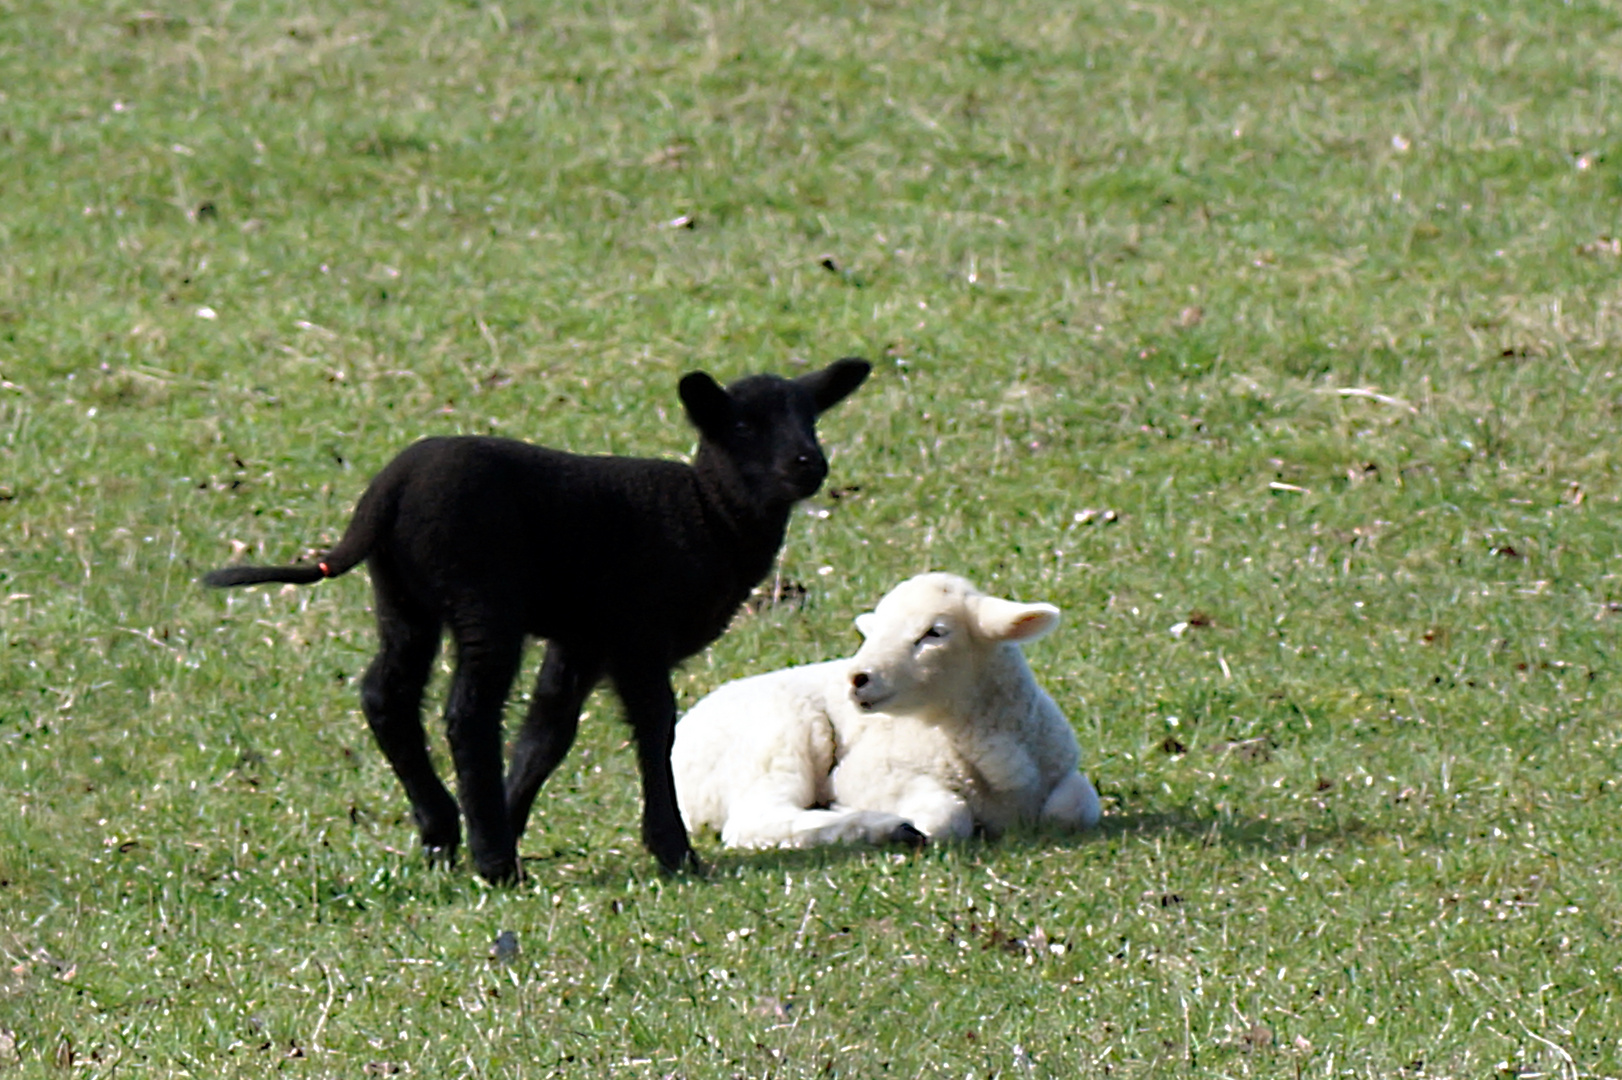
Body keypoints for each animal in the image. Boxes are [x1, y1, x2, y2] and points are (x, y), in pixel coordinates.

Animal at [205, 356, 875, 882]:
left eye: (811, 418)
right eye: (741, 425)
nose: (808, 462)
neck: (708, 514)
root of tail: (385, 494)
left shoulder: (582, 638)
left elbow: (548, 731)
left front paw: (509, 812)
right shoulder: (637, 632)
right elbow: (655, 728)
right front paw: (672, 850)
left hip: (401, 597)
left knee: (385, 694)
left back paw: (444, 833)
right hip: (481, 595)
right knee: (467, 713)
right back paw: (495, 861)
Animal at [671, 570, 1102, 849]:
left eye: (935, 633)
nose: (856, 677)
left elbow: (1073, 808)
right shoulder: (867, 773)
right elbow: (947, 816)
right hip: (779, 738)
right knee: (755, 821)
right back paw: (878, 826)